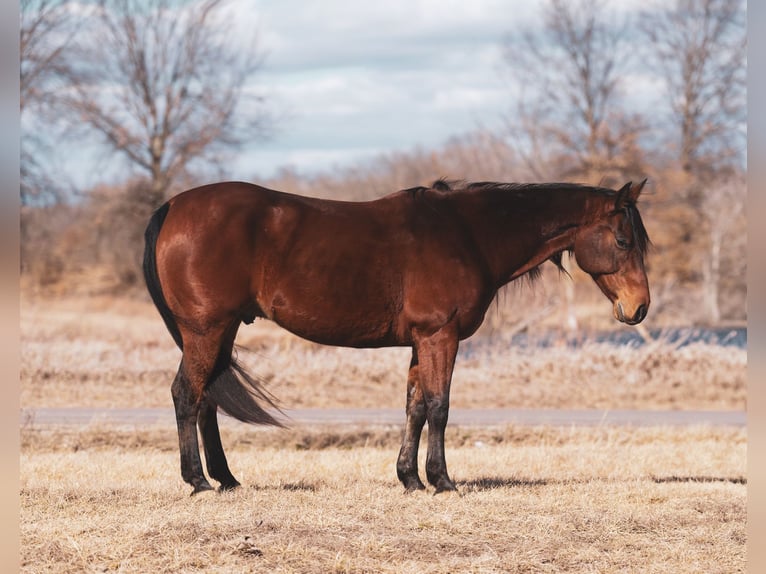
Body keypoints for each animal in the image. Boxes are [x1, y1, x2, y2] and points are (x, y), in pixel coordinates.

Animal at [141, 179, 652, 496]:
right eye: (623, 241)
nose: (639, 308)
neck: (467, 234)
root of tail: (173, 207)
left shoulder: (420, 342)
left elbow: (415, 407)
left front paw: (409, 478)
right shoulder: (440, 336)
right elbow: (440, 407)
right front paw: (442, 481)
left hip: (220, 331)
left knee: (207, 398)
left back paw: (226, 479)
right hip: (206, 330)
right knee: (186, 394)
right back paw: (198, 481)